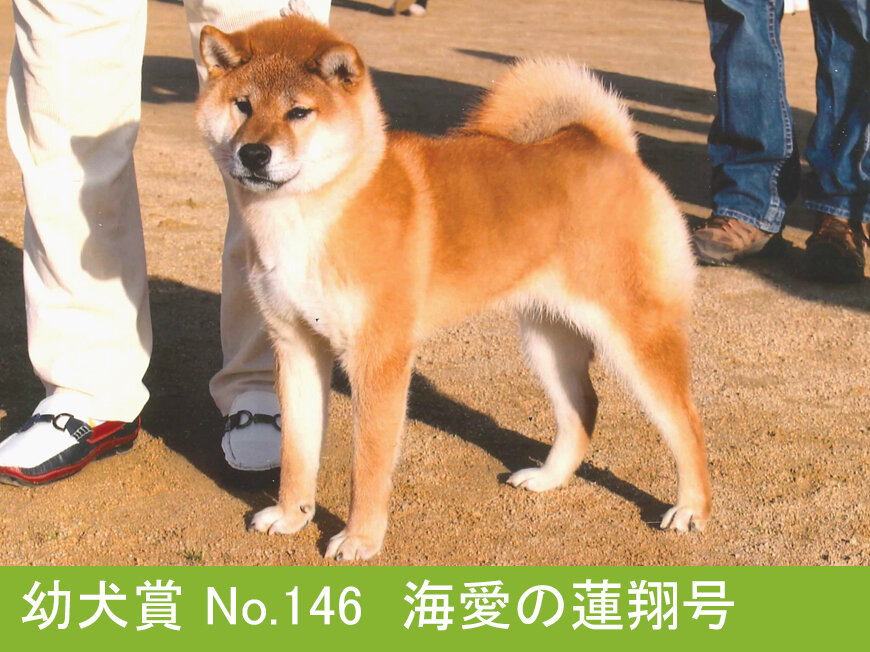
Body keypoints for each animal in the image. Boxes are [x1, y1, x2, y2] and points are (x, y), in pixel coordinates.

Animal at [196, 12, 712, 561]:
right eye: (243, 105)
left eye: (299, 112)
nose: (254, 153)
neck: (318, 210)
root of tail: (601, 142)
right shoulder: (295, 345)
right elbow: (296, 450)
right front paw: (292, 516)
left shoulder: (378, 357)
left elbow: (368, 466)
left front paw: (359, 539)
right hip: (547, 338)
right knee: (582, 409)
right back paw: (547, 479)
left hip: (634, 335)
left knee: (686, 421)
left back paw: (691, 509)